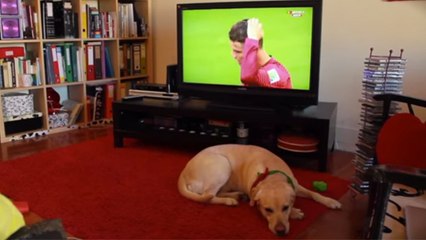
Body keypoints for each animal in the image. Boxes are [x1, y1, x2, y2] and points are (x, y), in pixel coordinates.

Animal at [177, 144, 342, 236]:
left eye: (285, 207)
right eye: (267, 210)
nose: (280, 231)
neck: (272, 176)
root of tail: (183, 173)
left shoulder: (295, 185)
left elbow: (314, 194)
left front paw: (330, 201)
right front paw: (295, 212)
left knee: (214, 193)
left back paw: (237, 195)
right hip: (222, 164)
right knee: (208, 196)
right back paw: (230, 200)